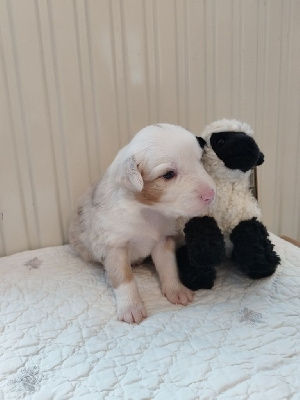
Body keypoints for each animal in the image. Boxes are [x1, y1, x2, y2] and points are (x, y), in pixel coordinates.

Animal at [69, 123, 216, 324]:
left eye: (200, 161)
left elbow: (169, 267)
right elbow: (125, 279)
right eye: (168, 174)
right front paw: (131, 307)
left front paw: (176, 290)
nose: (211, 194)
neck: (148, 211)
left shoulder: (163, 240)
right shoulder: (114, 245)